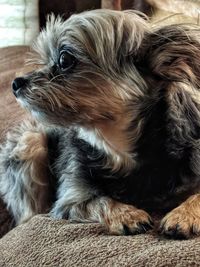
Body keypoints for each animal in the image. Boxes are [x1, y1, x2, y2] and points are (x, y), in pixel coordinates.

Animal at [0, 9, 200, 240]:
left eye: (65, 59)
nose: (16, 83)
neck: (116, 148)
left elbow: (197, 194)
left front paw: (183, 215)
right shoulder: (71, 198)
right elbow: (99, 200)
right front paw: (126, 215)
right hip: (30, 141)